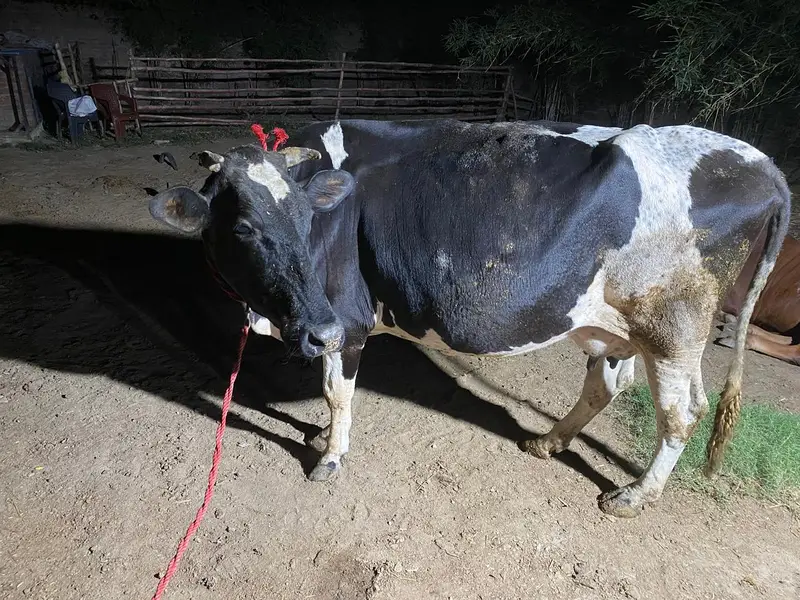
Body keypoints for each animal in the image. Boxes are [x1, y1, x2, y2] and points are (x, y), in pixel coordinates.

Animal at [148, 119, 790, 518]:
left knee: (681, 414)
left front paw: (330, 455)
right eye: (242, 228)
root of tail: (759, 161)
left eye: (307, 216)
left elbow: (336, 392)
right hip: (619, 327)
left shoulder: (346, 319)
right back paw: (547, 441)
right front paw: (323, 437)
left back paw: (633, 496)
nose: (314, 329)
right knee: (610, 386)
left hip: (672, 326)